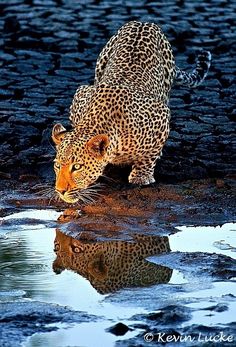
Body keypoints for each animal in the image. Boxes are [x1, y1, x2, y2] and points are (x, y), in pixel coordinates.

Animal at [51, 21, 210, 204]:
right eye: (57, 165)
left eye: (76, 167)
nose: (60, 191)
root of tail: (144, 22)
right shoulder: (81, 94)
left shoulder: (161, 115)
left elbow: (150, 154)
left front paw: (141, 176)